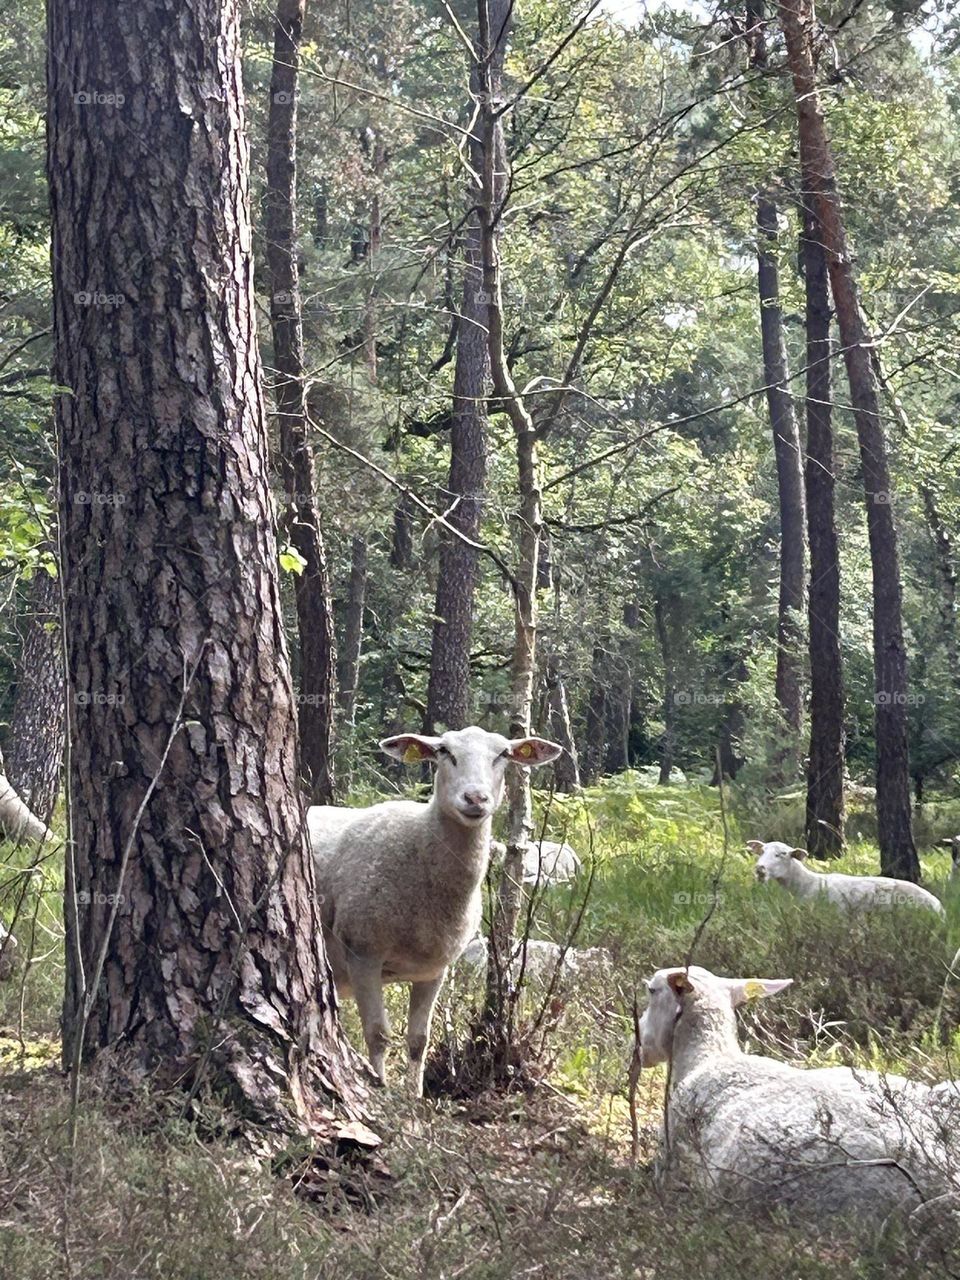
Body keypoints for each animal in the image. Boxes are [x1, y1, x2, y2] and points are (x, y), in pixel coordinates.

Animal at [308, 727, 563, 1095]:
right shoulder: (363, 952)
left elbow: (419, 1039)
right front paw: (380, 1085)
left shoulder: (434, 969)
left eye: (502, 754)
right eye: (445, 752)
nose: (475, 798)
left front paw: (414, 1096)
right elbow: (378, 1034)